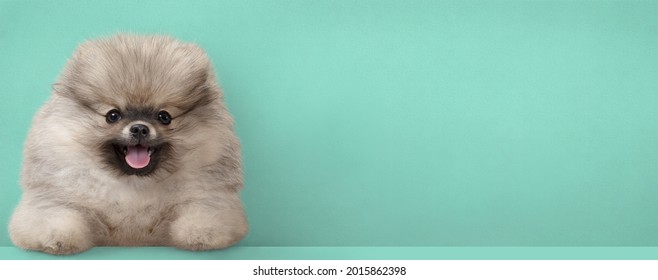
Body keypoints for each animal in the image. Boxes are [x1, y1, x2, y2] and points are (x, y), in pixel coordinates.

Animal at [7, 34, 249, 255]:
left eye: (164, 117)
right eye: (112, 115)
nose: (140, 128)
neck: (133, 186)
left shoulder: (207, 197)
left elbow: (204, 215)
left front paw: (201, 235)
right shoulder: (54, 198)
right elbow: (58, 217)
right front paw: (58, 239)